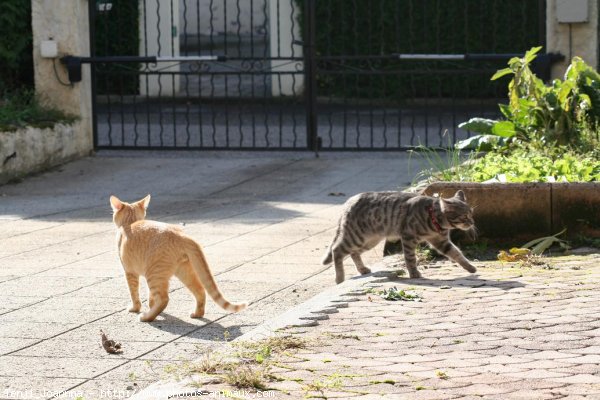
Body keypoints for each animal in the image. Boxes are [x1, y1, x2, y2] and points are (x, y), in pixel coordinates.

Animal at [109, 194, 246, 322]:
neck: (130, 222)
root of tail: (180, 235)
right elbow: (150, 295)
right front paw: (150, 305)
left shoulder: (129, 272)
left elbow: (134, 293)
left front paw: (135, 308)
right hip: (184, 271)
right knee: (200, 290)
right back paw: (197, 314)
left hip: (154, 274)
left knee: (164, 299)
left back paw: (147, 317)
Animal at [324, 190, 478, 282]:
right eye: (464, 216)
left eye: (471, 214)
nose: (472, 222)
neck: (433, 217)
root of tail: (349, 201)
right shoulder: (408, 238)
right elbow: (410, 258)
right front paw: (414, 273)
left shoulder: (441, 241)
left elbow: (457, 254)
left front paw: (470, 267)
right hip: (357, 236)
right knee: (337, 250)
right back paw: (340, 278)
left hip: (369, 241)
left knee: (353, 253)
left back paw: (362, 269)